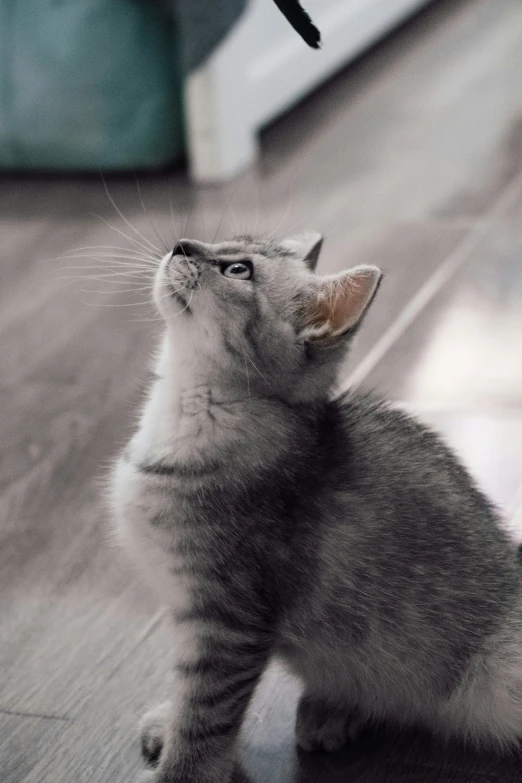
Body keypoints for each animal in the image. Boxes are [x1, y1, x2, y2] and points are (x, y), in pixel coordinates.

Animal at [108, 233, 520, 783]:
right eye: (223, 240)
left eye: (238, 270)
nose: (181, 244)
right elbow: (190, 695)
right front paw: (171, 723)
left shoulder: (229, 621)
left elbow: (206, 713)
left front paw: (183, 770)